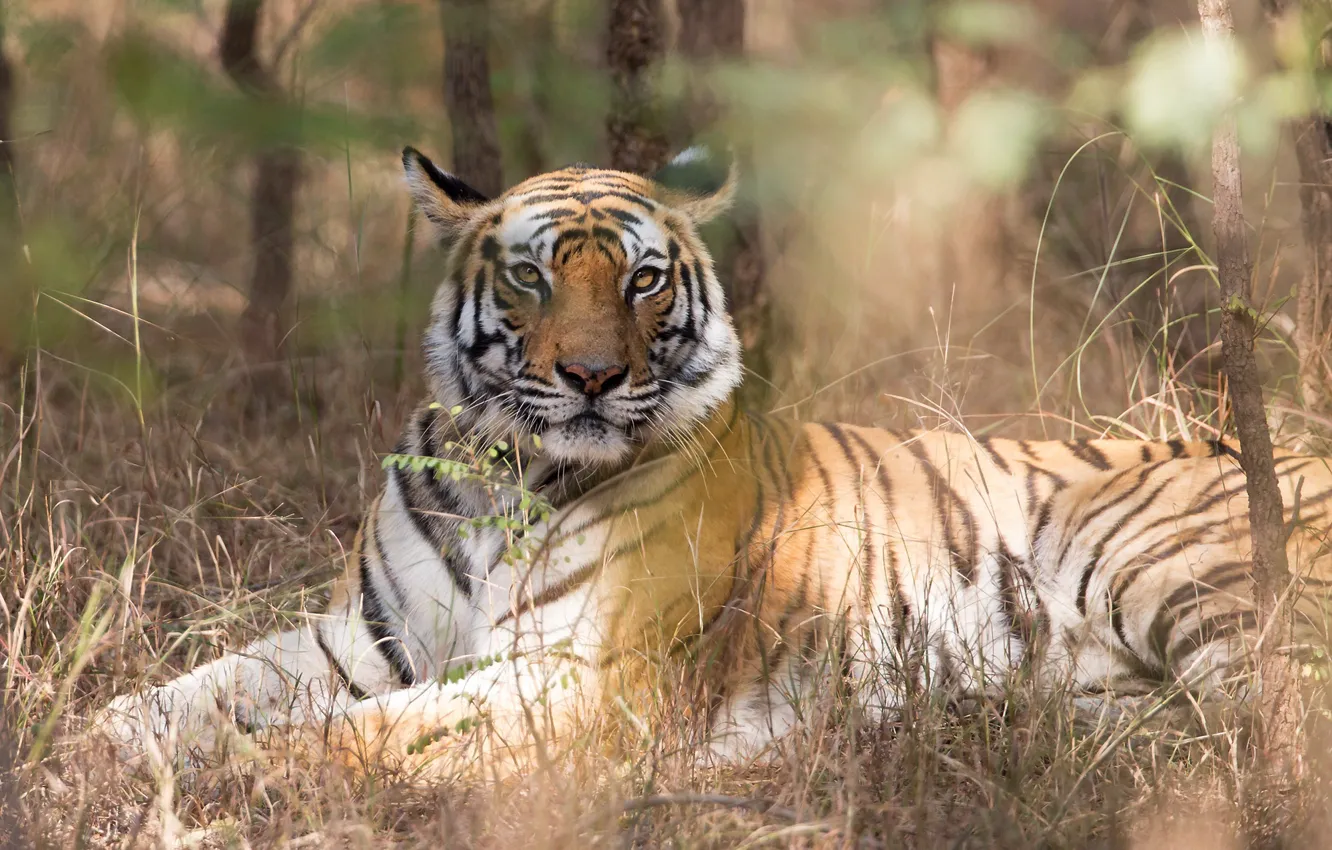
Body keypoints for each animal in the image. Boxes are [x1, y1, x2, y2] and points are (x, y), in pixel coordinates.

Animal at [96, 143, 1332, 783]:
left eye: (642, 280)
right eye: (532, 276)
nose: (592, 376)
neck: (508, 471)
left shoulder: (585, 675)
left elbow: (372, 730)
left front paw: (250, 769)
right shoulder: (365, 635)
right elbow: (193, 688)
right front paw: (100, 744)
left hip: (1152, 557)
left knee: (1277, 724)